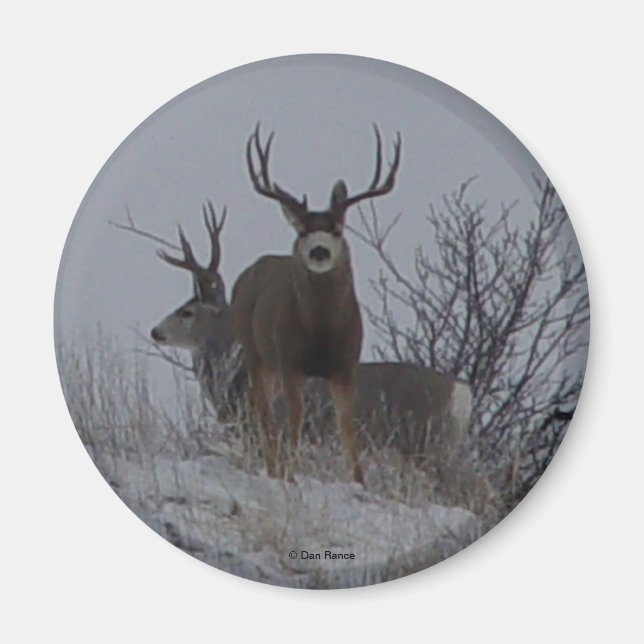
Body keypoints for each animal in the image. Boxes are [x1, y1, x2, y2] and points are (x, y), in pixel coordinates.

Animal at [230, 124, 403, 484]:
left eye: (337, 229)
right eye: (302, 230)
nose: (319, 251)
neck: (322, 332)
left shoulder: (345, 365)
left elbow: (348, 428)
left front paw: (360, 482)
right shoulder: (290, 360)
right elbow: (295, 421)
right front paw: (290, 474)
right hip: (255, 351)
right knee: (263, 413)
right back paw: (273, 467)